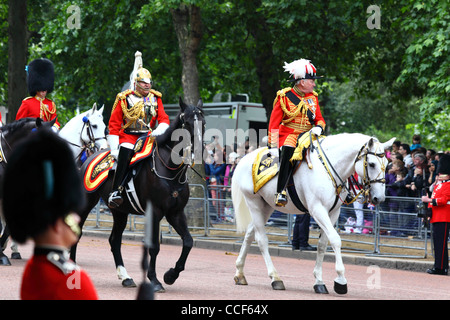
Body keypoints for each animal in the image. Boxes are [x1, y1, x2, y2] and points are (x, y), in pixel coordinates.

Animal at [71, 98, 205, 292]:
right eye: (186, 122)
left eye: (203, 122)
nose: (199, 150)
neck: (170, 170)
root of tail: (88, 158)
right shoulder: (155, 211)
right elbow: (154, 246)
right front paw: (155, 280)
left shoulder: (175, 213)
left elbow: (188, 241)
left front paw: (170, 275)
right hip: (86, 204)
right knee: (77, 232)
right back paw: (71, 269)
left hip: (119, 212)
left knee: (114, 240)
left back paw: (125, 277)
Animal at [232, 132, 394, 296]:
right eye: (372, 164)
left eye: (387, 164)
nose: (379, 198)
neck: (329, 168)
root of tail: (244, 158)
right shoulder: (317, 209)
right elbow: (335, 240)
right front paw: (341, 280)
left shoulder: (333, 212)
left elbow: (322, 244)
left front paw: (319, 282)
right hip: (254, 203)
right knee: (261, 240)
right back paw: (275, 278)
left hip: (267, 206)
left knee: (250, 234)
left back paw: (240, 273)